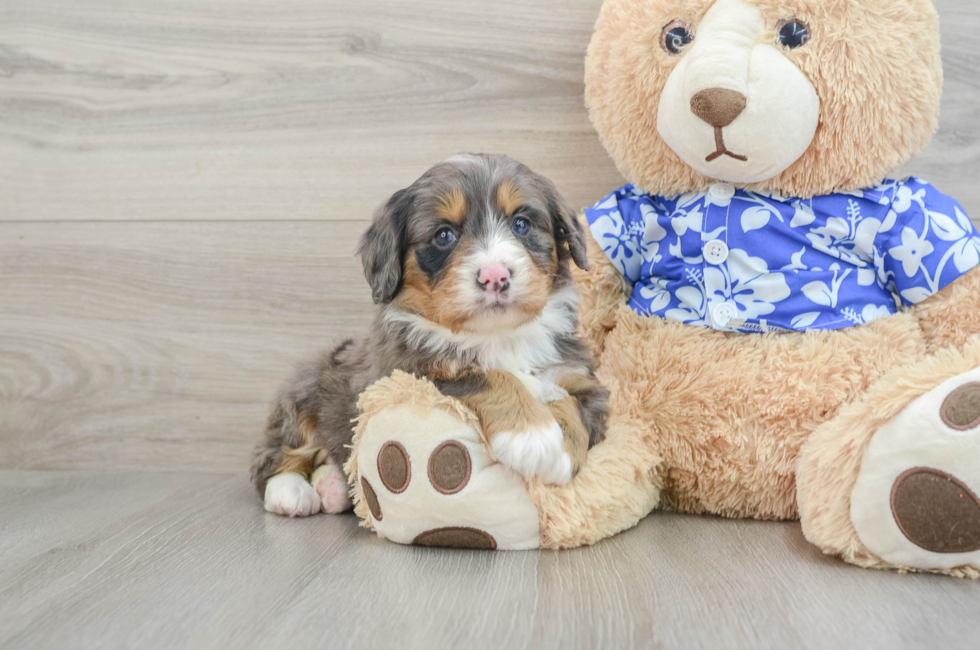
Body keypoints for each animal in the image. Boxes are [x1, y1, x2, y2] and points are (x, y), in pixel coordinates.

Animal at [251, 152, 604, 516]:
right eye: (444, 235)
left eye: (521, 224)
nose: (495, 275)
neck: (496, 336)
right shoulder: (408, 374)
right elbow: (489, 376)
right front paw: (533, 436)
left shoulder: (578, 377)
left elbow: (572, 405)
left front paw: (560, 451)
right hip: (300, 399)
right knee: (272, 457)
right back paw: (291, 492)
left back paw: (332, 486)